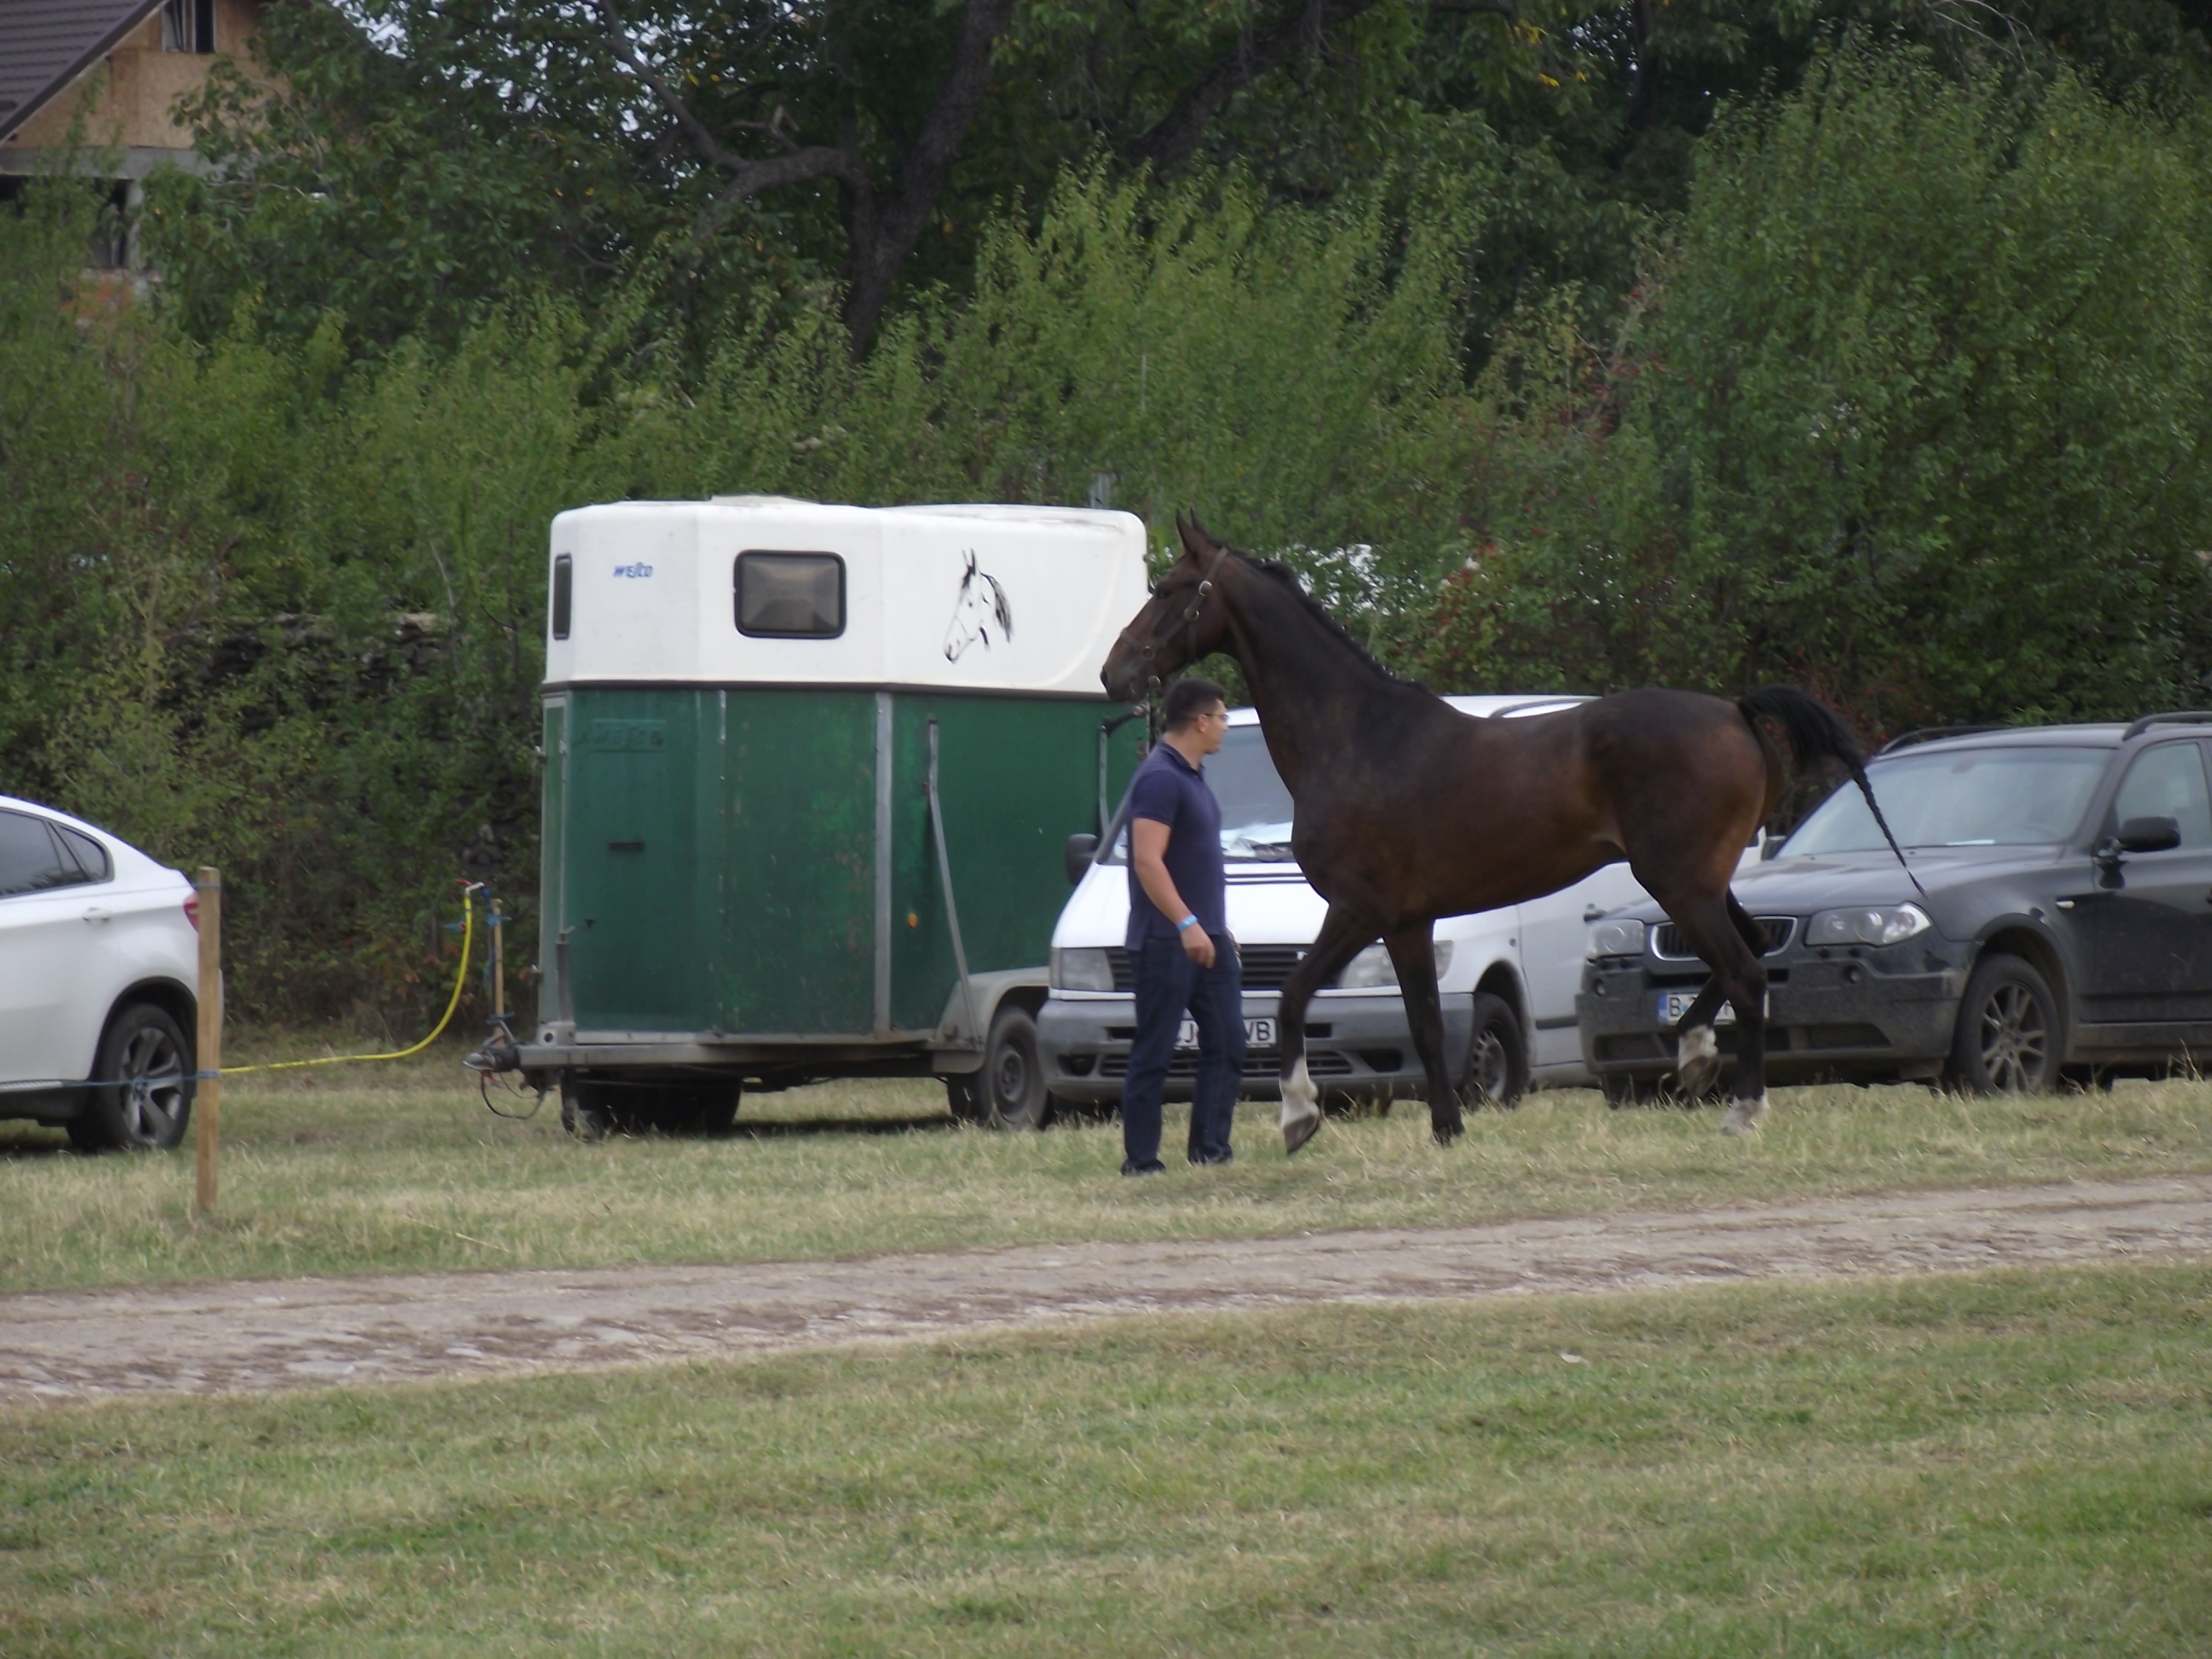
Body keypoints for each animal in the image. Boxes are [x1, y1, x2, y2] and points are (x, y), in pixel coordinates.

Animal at [1106, 519, 1920, 1159]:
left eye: (1170, 588)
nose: (1117, 671)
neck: (1356, 736)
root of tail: (1737, 715)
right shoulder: (1410, 922)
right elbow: (1423, 1022)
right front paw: (1447, 1127)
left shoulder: (1365, 911)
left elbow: (1300, 997)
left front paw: (1301, 1116)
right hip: (1699, 882)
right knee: (1746, 954)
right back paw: (1692, 1054)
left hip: (1678, 882)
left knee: (1748, 974)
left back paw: (1743, 1109)